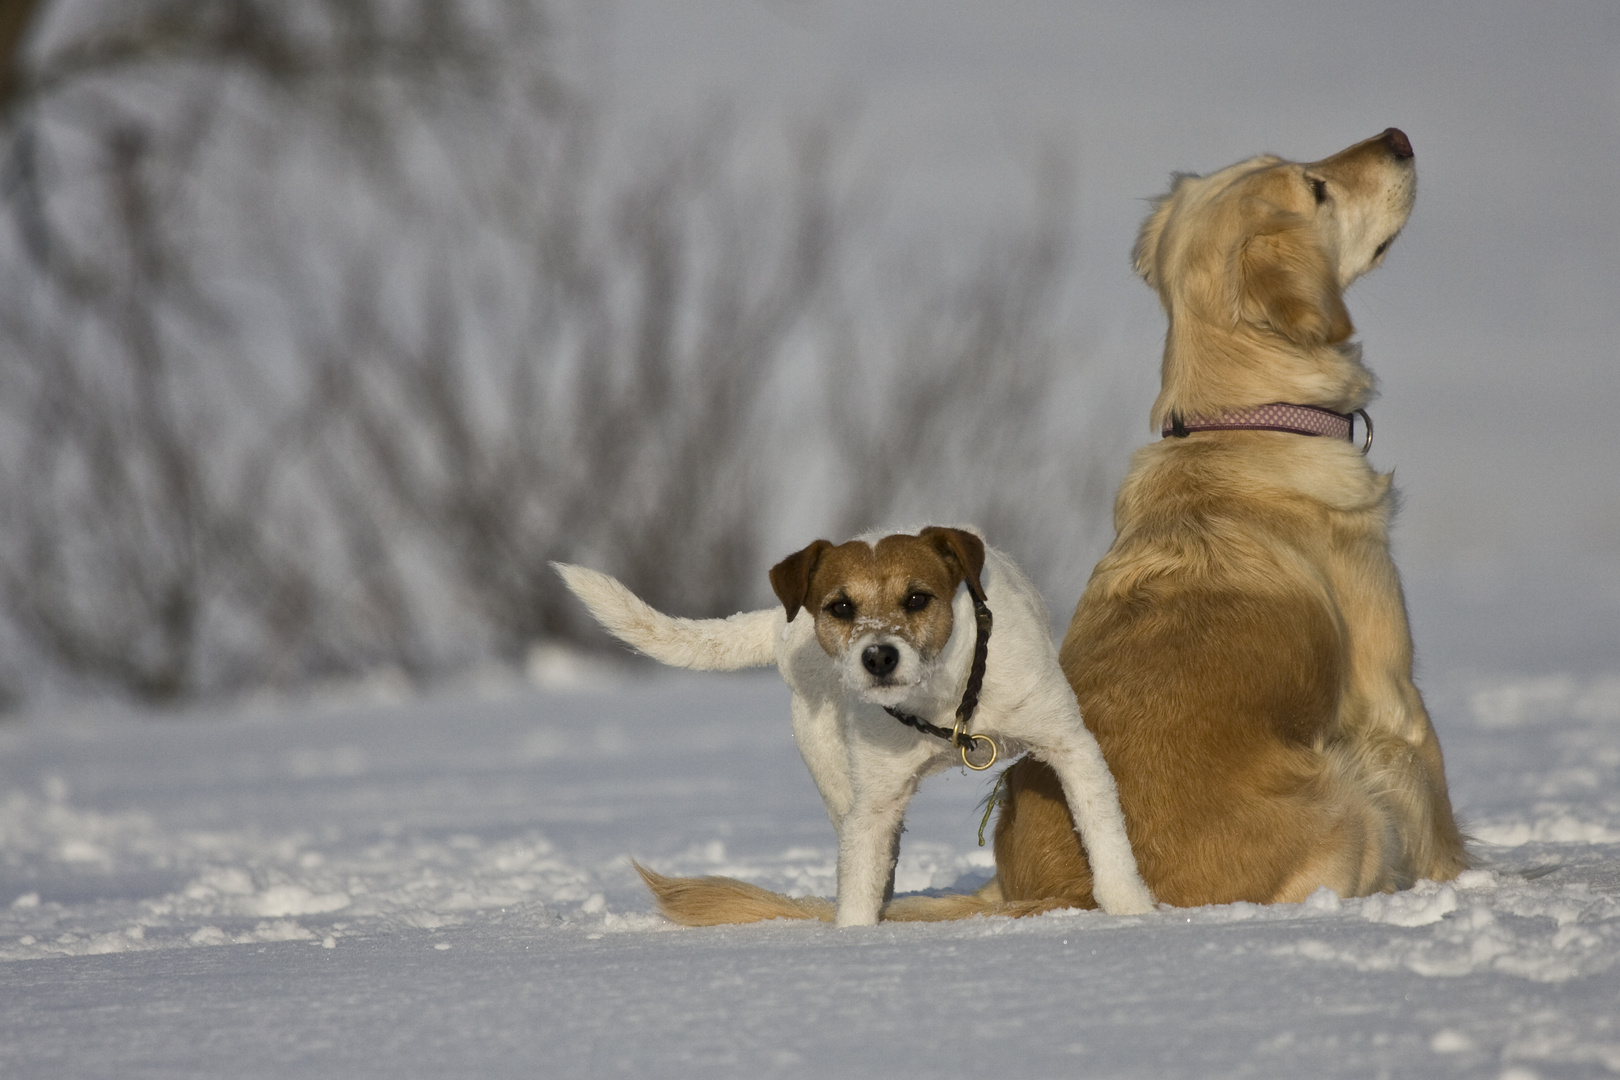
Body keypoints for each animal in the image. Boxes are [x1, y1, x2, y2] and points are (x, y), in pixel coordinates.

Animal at [557, 527, 1153, 926]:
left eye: (917, 598)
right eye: (840, 607)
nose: (879, 656)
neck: (943, 704)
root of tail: (782, 626)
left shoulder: (1070, 745)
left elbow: (1106, 838)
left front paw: (1133, 911)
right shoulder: (874, 805)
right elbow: (860, 885)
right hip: (834, 774)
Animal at [991, 128, 1477, 913]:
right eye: (1316, 188)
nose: (1398, 139)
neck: (1246, 422)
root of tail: (1067, 894)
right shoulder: (1393, 698)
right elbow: (1439, 820)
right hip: (1348, 800)